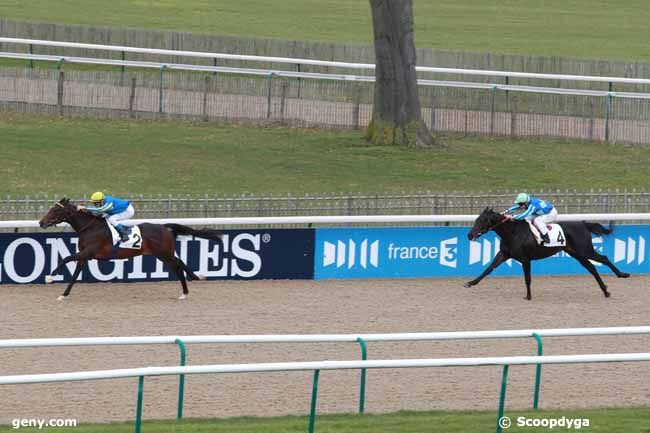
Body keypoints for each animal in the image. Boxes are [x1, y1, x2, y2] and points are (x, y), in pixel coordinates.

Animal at [38, 197, 221, 298]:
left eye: (55, 210)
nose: (41, 222)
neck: (90, 228)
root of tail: (165, 227)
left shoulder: (87, 252)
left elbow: (66, 258)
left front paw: (50, 276)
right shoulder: (85, 255)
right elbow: (75, 274)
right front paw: (63, 295)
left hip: (164, 253)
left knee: (179, 264)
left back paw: (192, 282)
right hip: (162, 254)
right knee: (178, 265)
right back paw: (187, 289)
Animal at [464, 208, 632, 298]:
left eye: (482, 221)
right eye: (476, 219)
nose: (469, 235)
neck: (512, 232)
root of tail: (584, 224)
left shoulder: (525, 259)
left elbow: (527, 279)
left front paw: (528, 296)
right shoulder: (504, 254)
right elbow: (488, 269)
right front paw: (471, 283)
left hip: (585, 249)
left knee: (603, 258)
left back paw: (622, 274)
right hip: (577, 253)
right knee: (592, 268)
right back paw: (605, 291)